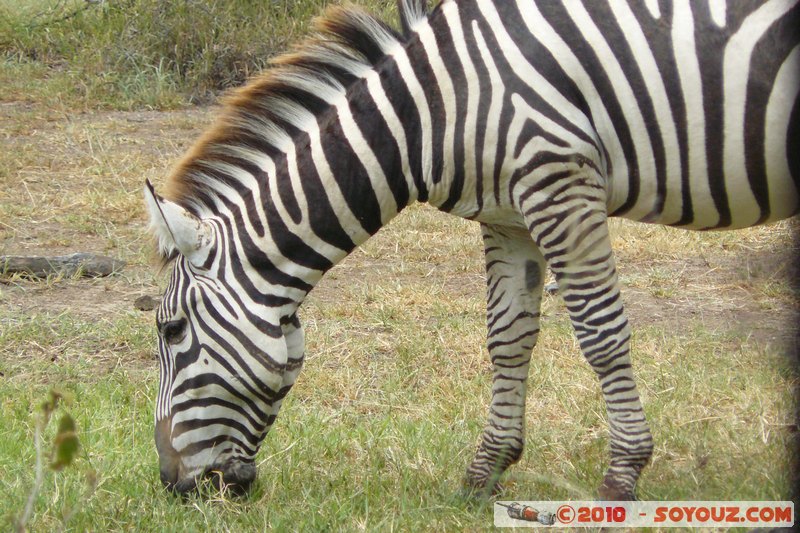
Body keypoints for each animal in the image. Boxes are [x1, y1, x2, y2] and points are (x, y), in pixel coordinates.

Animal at [145, 1, 800, 498]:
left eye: (172, 330)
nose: (172, 486)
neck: (430, 111)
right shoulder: (509, 216)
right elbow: (508, 337)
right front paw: (486, 472)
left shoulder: (559, 182)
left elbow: (600, 333)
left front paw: (622, 475)